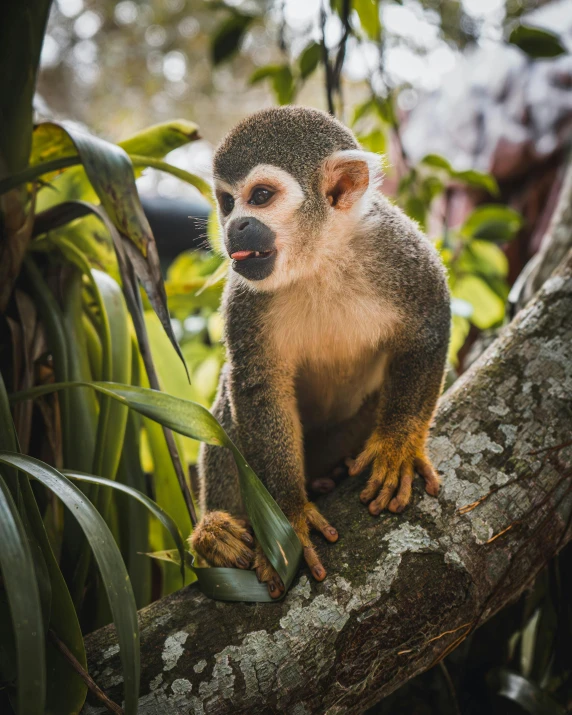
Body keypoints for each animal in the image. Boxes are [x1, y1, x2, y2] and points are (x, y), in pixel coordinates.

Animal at [192, 106, 452, 600]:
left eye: (260, 196)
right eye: (227, 202)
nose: (234, 226)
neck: (319, 259)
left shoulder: (399, 248)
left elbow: (428, 326)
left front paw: (397, 446)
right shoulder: (243, 294)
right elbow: (258, 386)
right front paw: (289, 514)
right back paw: (217, 529)